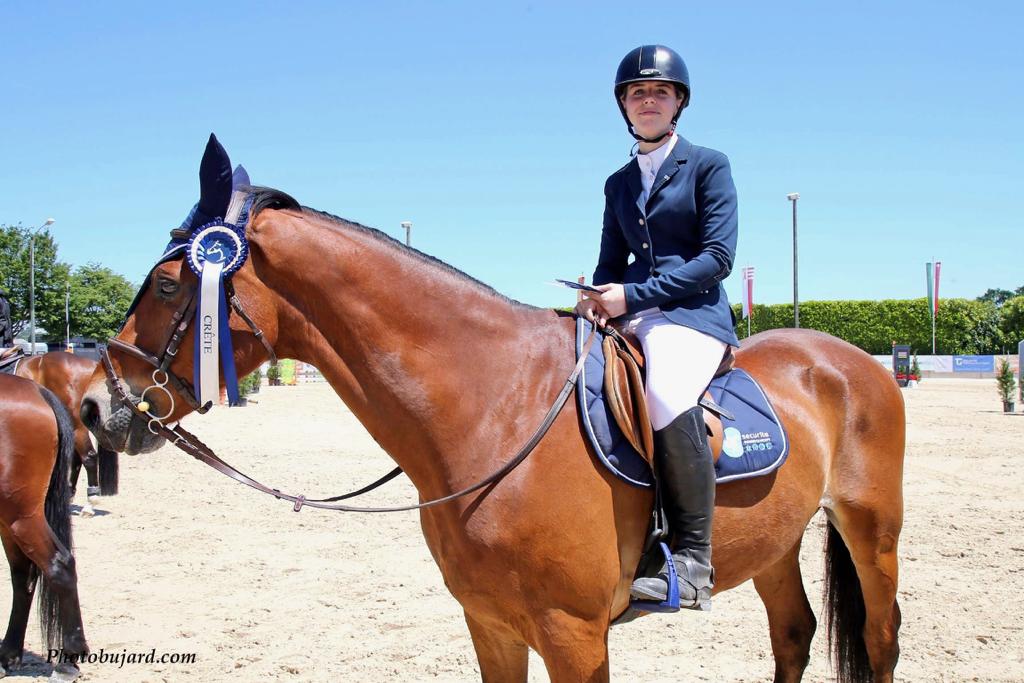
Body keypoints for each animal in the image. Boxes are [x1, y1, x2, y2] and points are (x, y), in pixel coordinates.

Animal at [0, 374, 87, 681]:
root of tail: (36, 390)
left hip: (22, 517)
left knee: (59, 565)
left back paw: (68, 662)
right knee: (23, 576)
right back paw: (8, 656)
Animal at [81, 185, 905, 682]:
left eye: (166, 285)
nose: (94, 404)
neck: (492, 408)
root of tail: (845, 356)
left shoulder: (575, 635)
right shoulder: (490, 623)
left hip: (872, 530)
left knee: (881, 634)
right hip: (774, 538)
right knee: (793, 633)